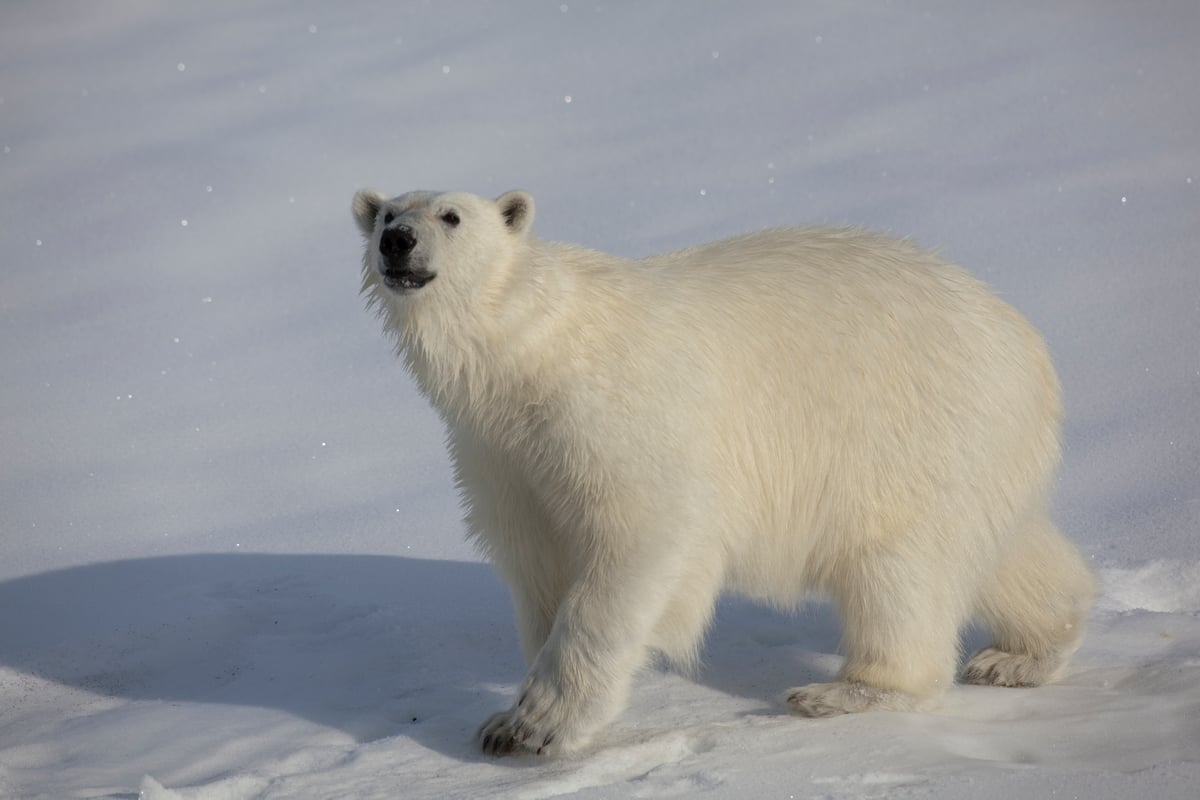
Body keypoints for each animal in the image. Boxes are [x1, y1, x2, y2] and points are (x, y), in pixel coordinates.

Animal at [350, 188, 1094, 758]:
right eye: (385, 212)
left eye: (451, 215)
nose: (399, 241)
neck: (528, 352)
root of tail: (1026, 343)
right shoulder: (500, 454)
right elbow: (538, 561)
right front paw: (512, 716)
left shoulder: (611, 414)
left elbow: (639, 537)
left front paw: (532, 727)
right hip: (976, 449)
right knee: (1006, 550)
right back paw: (1020, 654)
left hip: (910, 430)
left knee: (898, 567)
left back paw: (844, 691)